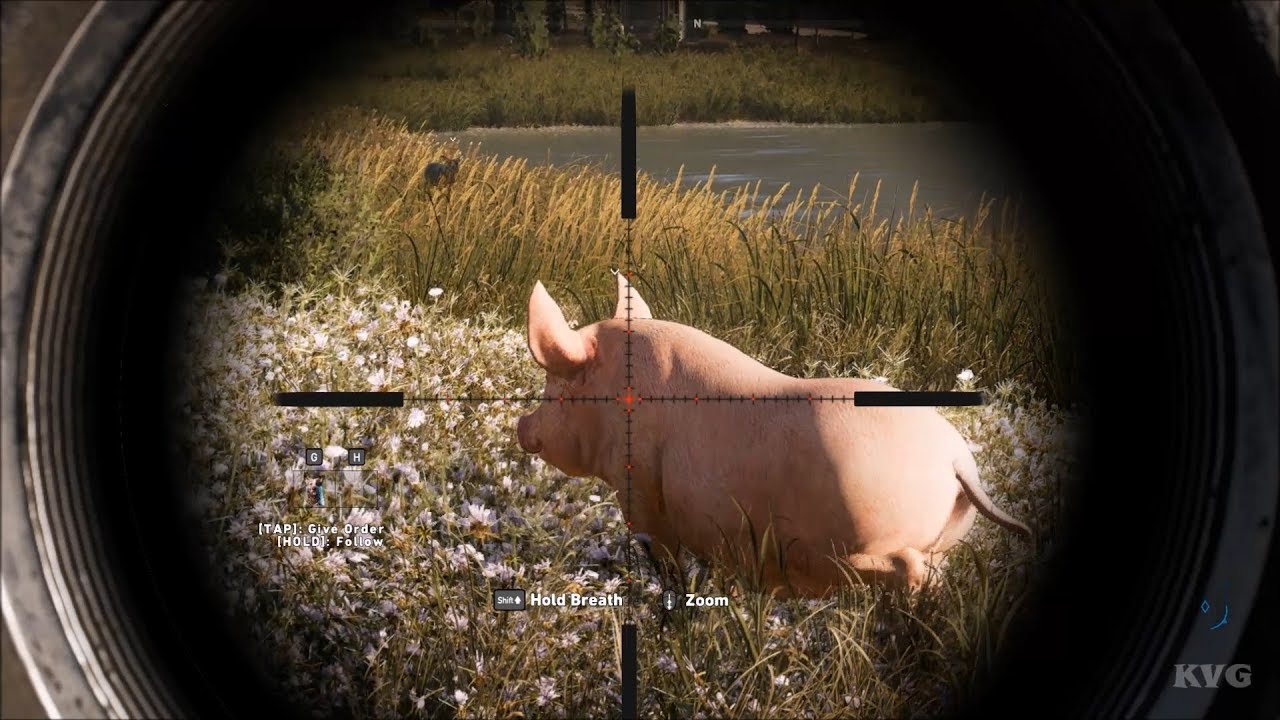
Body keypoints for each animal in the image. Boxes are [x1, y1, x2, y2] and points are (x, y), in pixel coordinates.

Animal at [516, 274, 1033, 596]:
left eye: (554, 385)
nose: (522, 425)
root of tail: (955, 461)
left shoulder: (639, 491)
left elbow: (664, 560)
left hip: (855, 538)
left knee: (906, 568)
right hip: (944, 539)